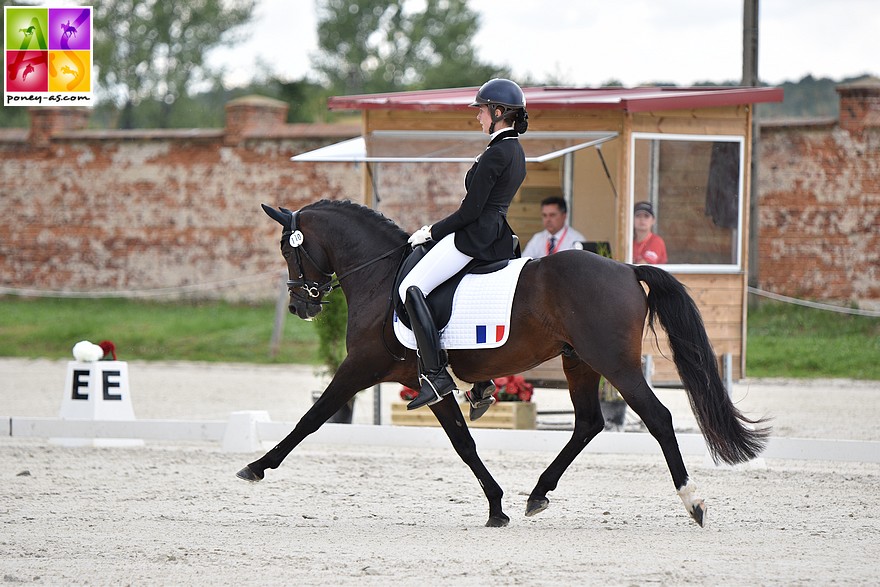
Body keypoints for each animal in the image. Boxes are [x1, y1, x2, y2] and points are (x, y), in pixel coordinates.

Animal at [241, 200, 768, 532]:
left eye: (289, 249)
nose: (300, 307)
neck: (380, 274)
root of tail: (626, 267)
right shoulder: (428, 383)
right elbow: (464, 443)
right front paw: (497, 506)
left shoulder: (362, 366)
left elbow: (311, 418)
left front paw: (257, 466)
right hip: (579, 361)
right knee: (588, 423)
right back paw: (537, 493)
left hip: (614, 363)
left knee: (657, 417)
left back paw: (693, 502)